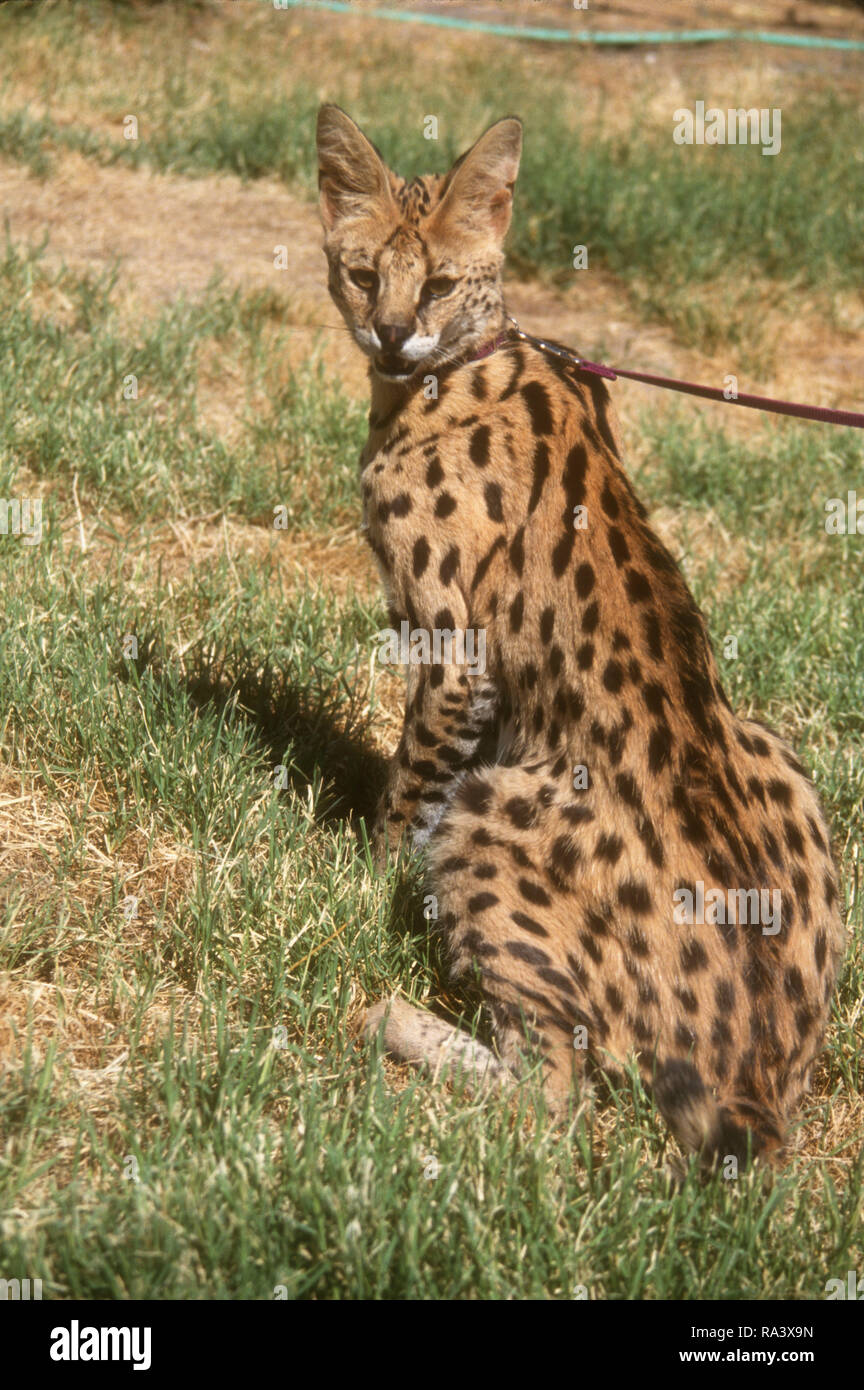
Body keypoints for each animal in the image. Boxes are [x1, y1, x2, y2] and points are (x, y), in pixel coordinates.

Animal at [316, 102, 844, 1162]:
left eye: (437, 282)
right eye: (361, 273)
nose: (391, 334)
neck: (458, 362)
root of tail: (761, 1084)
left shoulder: (455, 660)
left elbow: (404, 800)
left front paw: (348, 878)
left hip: (495, 815)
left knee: (552, 1096)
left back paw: (388, 1019)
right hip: (775, 749)